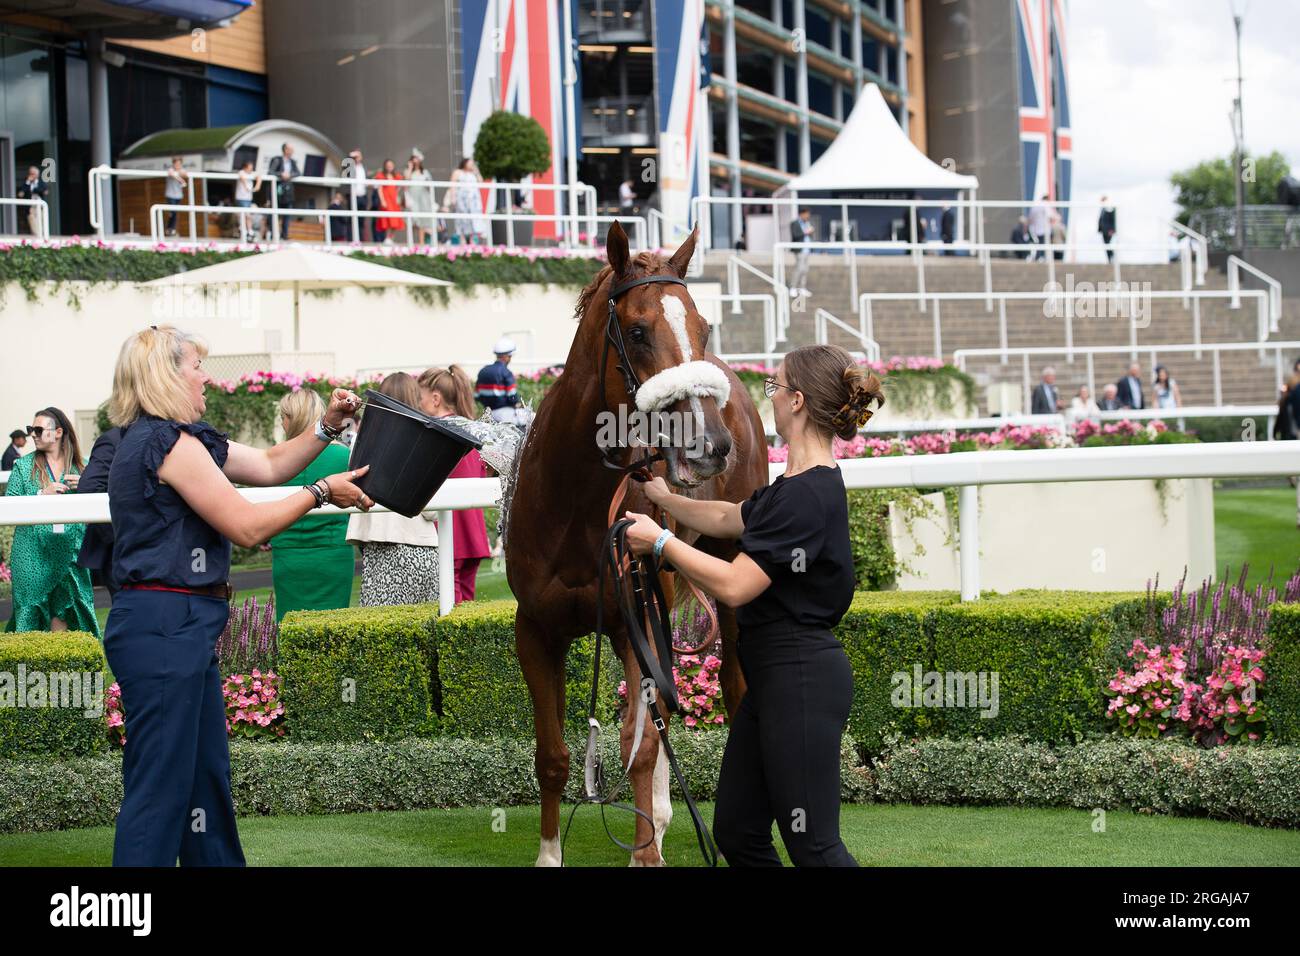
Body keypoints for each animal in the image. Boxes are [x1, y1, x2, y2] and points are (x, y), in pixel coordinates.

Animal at [504, 222, 769, 868]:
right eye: (638, 330)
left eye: (703, 327)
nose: (711, 445)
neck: (574, 502)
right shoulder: (536, 629)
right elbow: (553, 754)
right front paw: (551, 854)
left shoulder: (634, 621)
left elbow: (641, 744)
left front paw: (645, 852)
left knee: (729, 692)